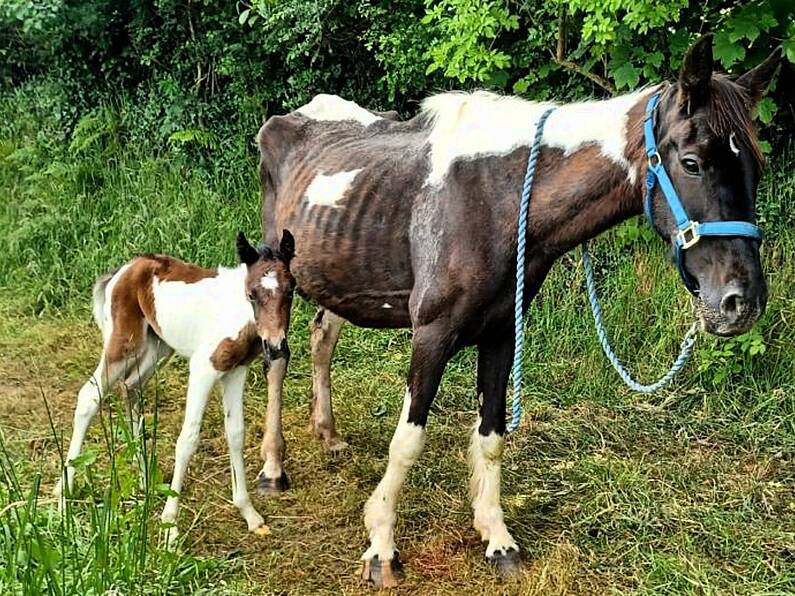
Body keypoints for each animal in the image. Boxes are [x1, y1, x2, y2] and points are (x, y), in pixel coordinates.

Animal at [54, 232, 296, 544]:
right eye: (252, 294)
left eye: (290, 291)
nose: (275, 346)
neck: (236, 315)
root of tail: (125, 268)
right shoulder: (203, 369)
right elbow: (188, 439)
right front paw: (170, 524)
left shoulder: (235, 372)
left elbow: (236, 434)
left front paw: (249, 513)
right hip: (124, 343)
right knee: (90, 396)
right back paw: (64, 490)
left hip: (157, 347)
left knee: (131, 387)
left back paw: (144, 476)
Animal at [258, 37, 780, 588]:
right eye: (693, 162)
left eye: (756, 168)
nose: (741, 302)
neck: (497, 202)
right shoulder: (432, 333)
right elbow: (408, 440)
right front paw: (381, 546)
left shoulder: (502, 333)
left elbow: (491, 436)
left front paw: (496, 538)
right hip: (275, 274)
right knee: (276, 358)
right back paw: (272, 469)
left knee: (321, 339)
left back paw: (328, 434)